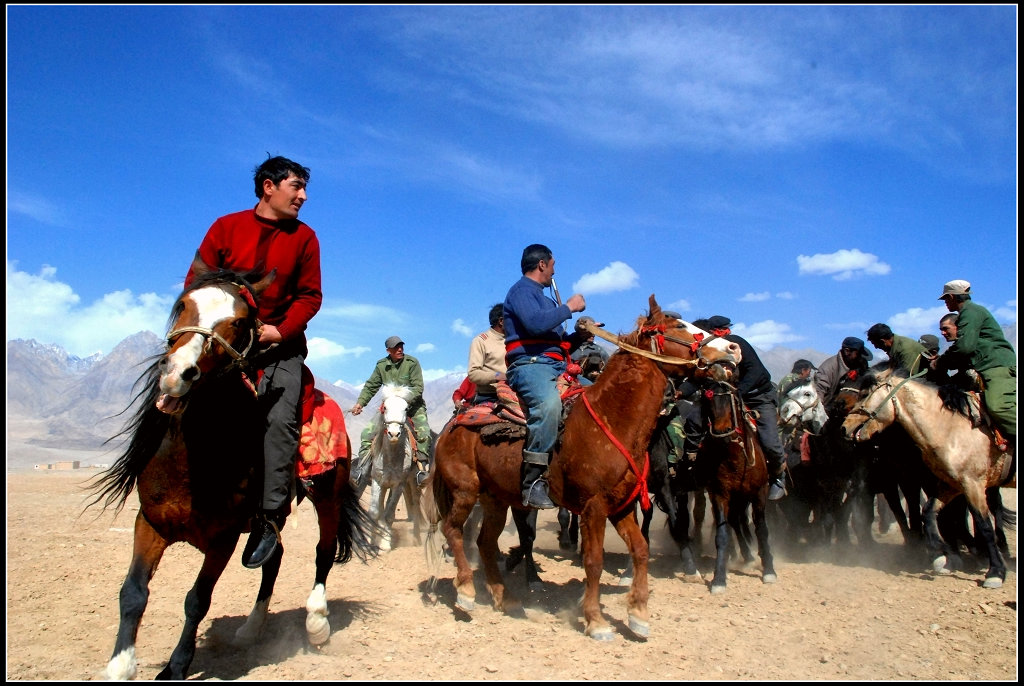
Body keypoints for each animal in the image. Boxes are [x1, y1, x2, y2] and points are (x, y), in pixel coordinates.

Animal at [84, 259, 380, 683]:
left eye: (240, 322)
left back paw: (316, 624)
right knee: (273, 555)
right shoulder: (150, 523)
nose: (178, 372)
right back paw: (251, 629)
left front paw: (176, 665)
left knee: (323, 552)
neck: (194, 461)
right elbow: (133, 592)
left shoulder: (221, 539)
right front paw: (120, 666)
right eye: (183, 305)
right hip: (275, 514)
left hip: (328, 493)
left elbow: (197, 599)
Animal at [352, 380, 423, 552]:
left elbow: (389, 514)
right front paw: (371, 541)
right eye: (385, 408)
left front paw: (385, 542)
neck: (391, 457)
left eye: (406, 408)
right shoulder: (377, 481)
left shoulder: (399, 484)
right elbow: (374, 512)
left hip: (409, 483)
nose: (394, 434)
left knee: (412, 506)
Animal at [419, 296, 741, 647]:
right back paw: (465, 592)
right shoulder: (593, 507)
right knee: (453, 531)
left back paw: (507, 599)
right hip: (465, 490)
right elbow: (593, 561)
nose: (733, 349)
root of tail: (452, 426)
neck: (613, 418)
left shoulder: (622, 506)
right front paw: (596, 621)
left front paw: (638, 615)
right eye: (680, 326)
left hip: (496, 499)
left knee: (485, 543)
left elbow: (641, 551)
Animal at [839, 368, 1015, 589]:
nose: (844, 427)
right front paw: (941, 554)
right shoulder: (950, 485)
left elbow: (983, 525)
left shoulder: (972, 484)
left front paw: (995, 572)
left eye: (864, 394)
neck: (950, 428)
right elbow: (929, 512)